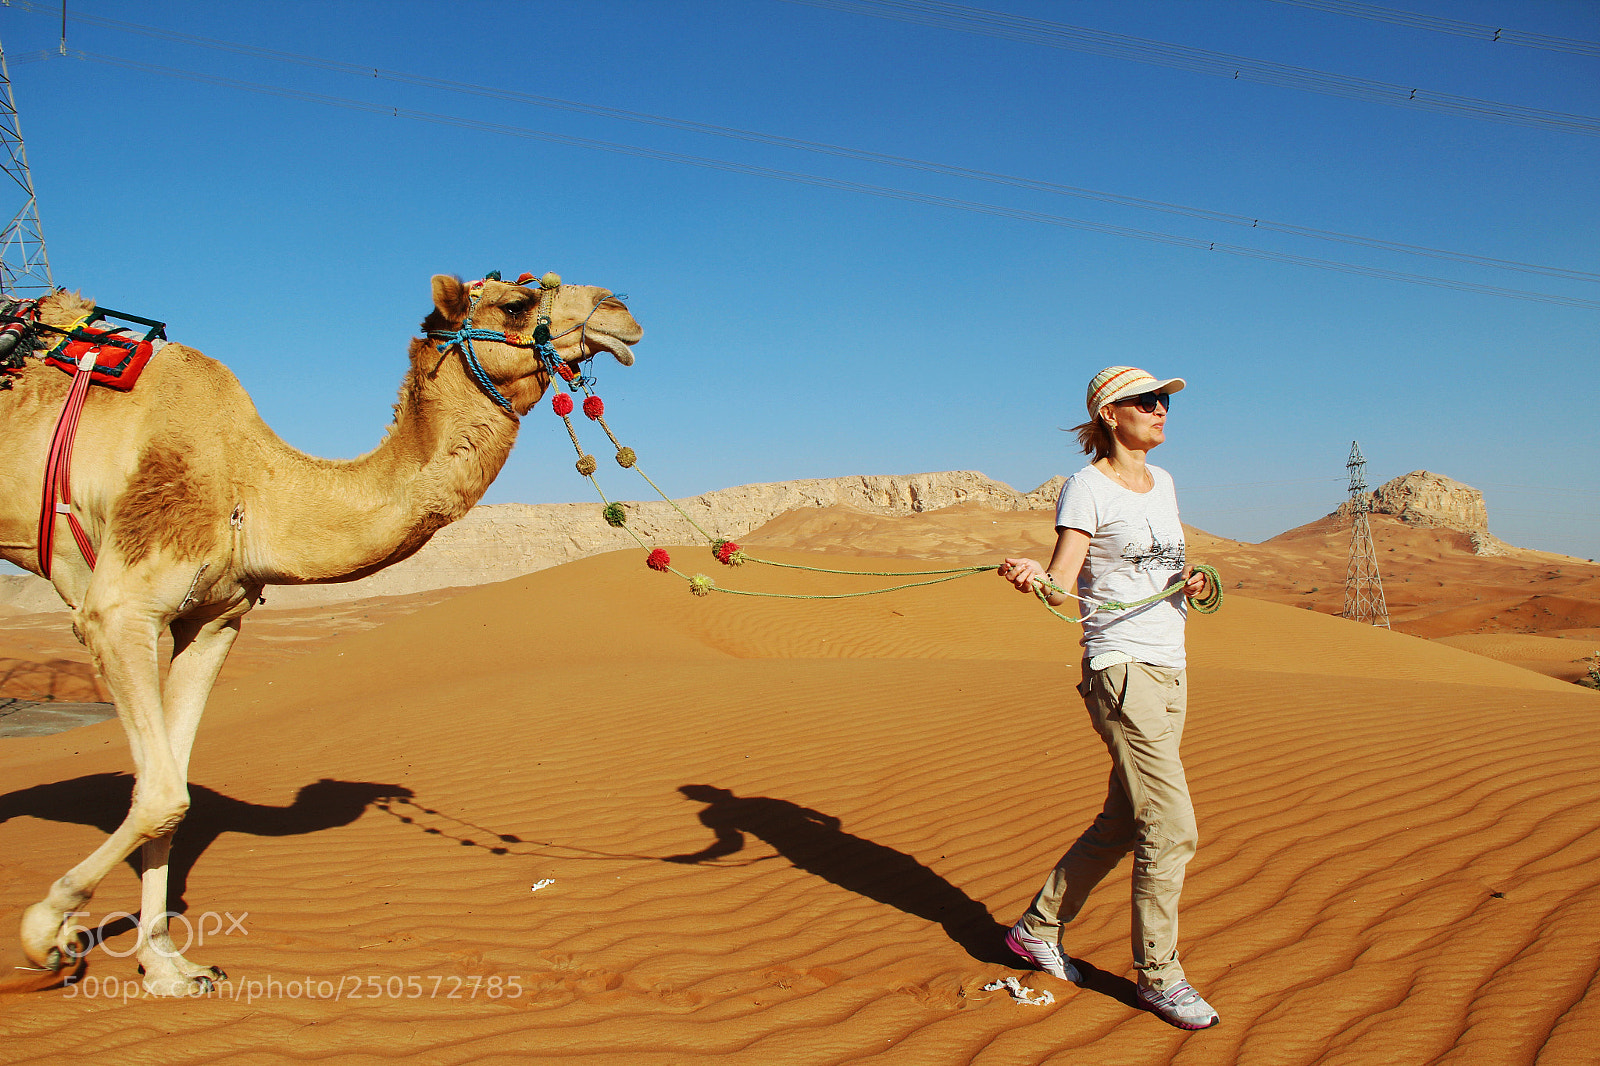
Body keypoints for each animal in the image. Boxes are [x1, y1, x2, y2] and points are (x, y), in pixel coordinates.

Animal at [0, 274, 641, 995]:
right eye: (516, 303)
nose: (620, 312)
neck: (250, 487)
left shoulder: (212, 619)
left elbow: (168, 794)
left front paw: (168, 968)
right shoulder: (117, 609)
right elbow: (163, 794)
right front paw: (48, 933)